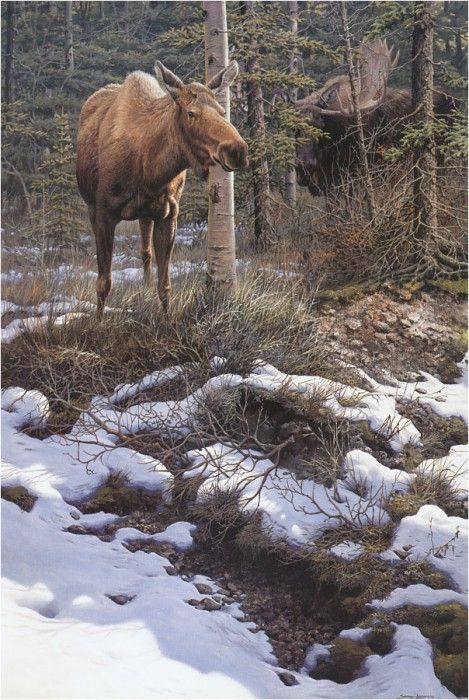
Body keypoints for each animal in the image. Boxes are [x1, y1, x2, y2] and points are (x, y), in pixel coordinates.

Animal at [76, 61, 248, 318]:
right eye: (191, 113)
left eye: (221, 110)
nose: (237, 150)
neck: (150, 171)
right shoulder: (103, 213)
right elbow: (103, 283)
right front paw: (98, 323)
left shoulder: (167, 215)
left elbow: (165, 286)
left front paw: (167, 321)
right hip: (93, 207)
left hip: (146, 214)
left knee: (145, 252)